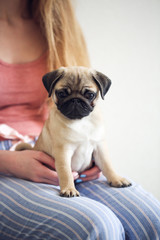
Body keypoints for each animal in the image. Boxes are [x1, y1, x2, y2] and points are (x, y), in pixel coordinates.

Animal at [16, 65, 131, 197]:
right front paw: (69, 189)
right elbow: (66, 172)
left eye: (90, 95)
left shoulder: (99, 147)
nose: (75, 100)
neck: (80, 121)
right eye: (61, 94)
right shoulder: (63, 151)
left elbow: (107, 165)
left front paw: (116, 179)